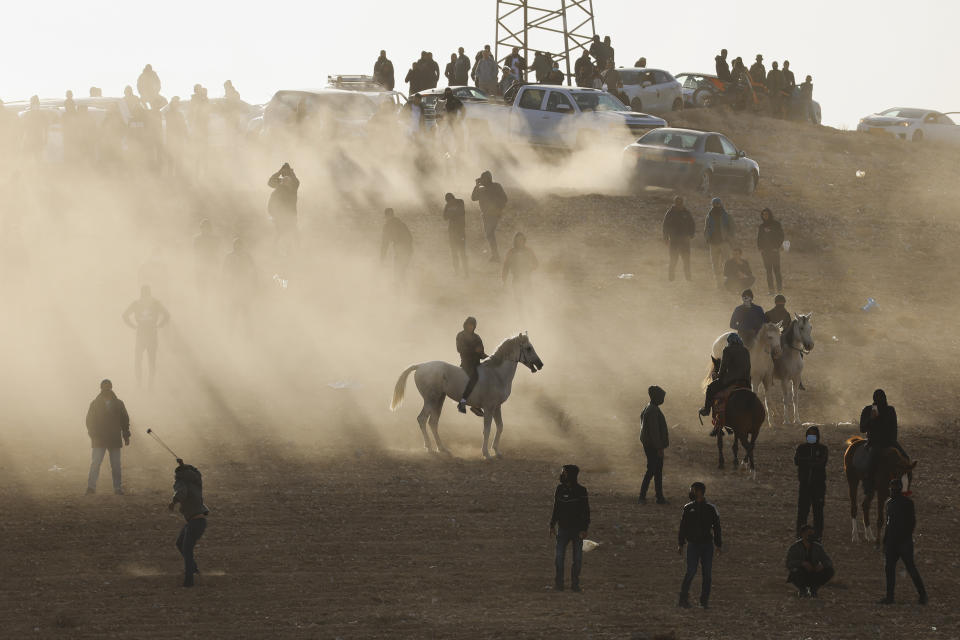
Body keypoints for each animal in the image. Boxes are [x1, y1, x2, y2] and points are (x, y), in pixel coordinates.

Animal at [388, 332, 540, 458]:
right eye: (528, 348)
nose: (540, 364)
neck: (497, 374)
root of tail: (420, 366)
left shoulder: (497, 407)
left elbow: (500, 426)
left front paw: (497, 451)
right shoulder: (489, 408)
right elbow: (487, 429)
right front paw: (486, 453)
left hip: (439, 399)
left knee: (433, 422)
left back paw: (442, 449)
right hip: (430, 400)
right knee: (422, 419)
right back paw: (430, 448)